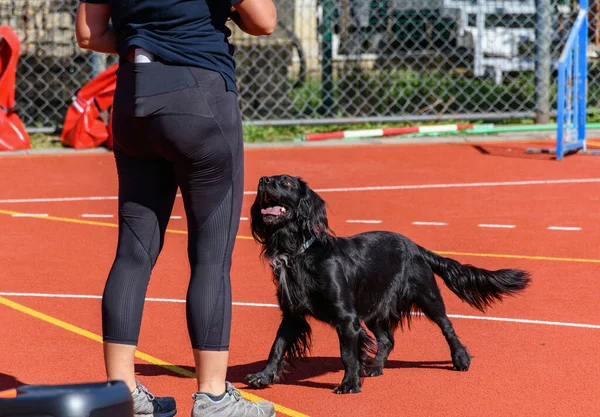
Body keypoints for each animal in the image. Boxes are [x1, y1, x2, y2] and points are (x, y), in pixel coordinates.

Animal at [244, 173, 528, 394]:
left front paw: (349, 384)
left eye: (287, 182)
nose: (262, 180)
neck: (299, 254)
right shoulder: (292, 314)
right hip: (375, 308)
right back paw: (375, 367)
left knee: (447, 326)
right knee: (388, 339)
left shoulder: (347, 318)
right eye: (269, 178)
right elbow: (277, 346)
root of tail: (416, 247)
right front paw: (263, 376)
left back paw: (460, 358)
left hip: (428, 296)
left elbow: (347, 354)